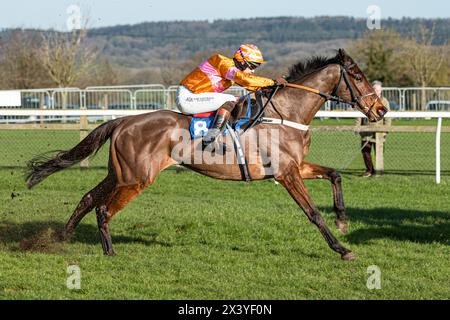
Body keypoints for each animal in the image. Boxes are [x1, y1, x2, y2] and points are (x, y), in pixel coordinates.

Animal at [26, 49, 388, 260]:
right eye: (357, 76)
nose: (381, 109)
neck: (286, 112)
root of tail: (124, 120)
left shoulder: (296, 166)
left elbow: (335, 174)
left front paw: (343, 220)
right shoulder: (287, 173)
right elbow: (312, 213)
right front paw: (342, 249)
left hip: (120, 173)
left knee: (88, 198)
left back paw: (61, 238)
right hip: (137, 178)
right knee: (103, 208)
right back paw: (110, 251)